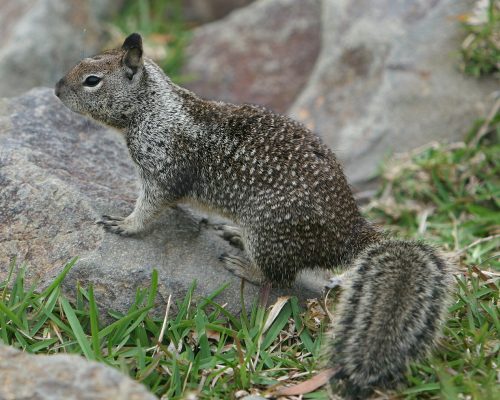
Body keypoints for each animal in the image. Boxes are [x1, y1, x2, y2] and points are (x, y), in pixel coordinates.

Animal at [55, 33, 458, 396]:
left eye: (92, 80)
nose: (57, 89)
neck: (154, 109)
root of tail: (349, 232)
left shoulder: (163, 169)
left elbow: (151, 206)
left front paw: (124, 224)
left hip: (268, 231)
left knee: (280, 277)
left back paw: (243, 264)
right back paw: (233, 236)